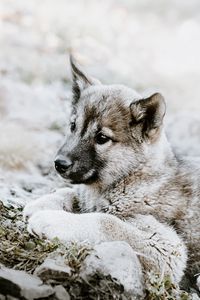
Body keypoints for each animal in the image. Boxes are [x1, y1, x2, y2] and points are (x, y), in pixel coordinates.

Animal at [23, 56, 200, 290]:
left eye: (102, 138)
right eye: (73, 126)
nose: (59, 164)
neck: (131, 178)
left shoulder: (166, 247)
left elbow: (105, 221)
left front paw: (50, 219)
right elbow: (70, 192)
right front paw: (41, 203)